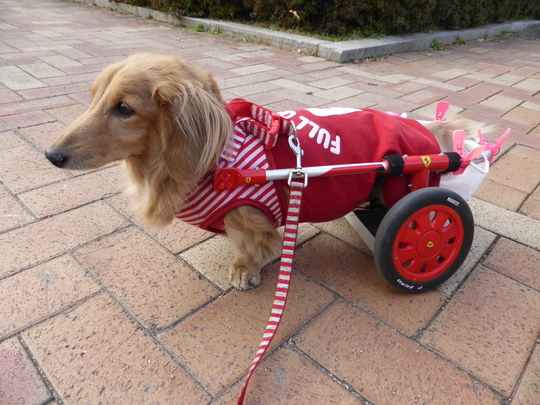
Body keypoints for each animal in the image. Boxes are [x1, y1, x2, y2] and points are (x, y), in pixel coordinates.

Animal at [46, 52, 480, 288]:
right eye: (93, 97)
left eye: (124, 109)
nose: (51, 155)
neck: (218, 159)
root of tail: (424, 129)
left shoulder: (248, 214)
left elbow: (249, 246)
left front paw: (245, 271)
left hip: (408, 184)